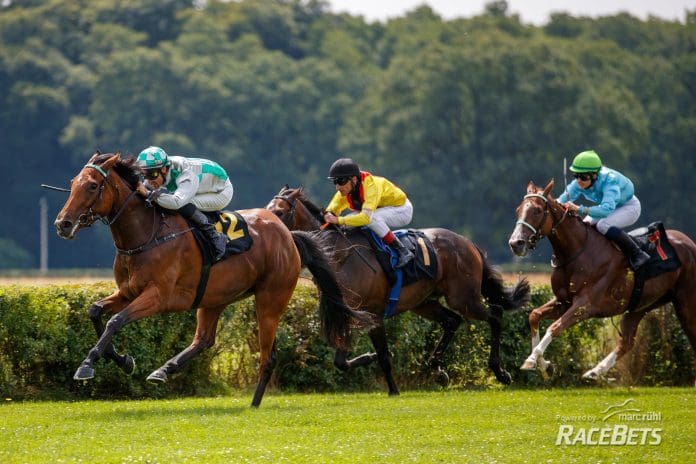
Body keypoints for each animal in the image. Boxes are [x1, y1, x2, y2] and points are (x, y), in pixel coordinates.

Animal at [53, 153, 376, 406]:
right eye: (72, 183)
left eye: (92, 185)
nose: (62, 224)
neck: (147, 234)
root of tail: (288, 235)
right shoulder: (128, 291)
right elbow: (96, 312)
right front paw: (123, 360)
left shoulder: (158, 296)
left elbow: (116, 320)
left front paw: (87, 365)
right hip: (214, 296)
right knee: (204, 340)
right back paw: (163, 370)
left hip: (270, 298)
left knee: (267, 355)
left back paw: (254, 404)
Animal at [270, 186, 532, 396]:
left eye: (280, 212)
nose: (271, 231)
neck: (341, 256)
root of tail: (467, 243)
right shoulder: (348, 313)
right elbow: (341, 361)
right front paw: (369, 357)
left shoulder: (373, 314)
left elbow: (384, 356)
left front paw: (393, 390)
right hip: (423, 302)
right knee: (452, 321)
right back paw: (438, 370)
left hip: (463, 297)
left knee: (494, 314)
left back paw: (500, 372)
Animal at [506, 179, 696, 380]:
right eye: (518, 209)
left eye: (537, 210)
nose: (515, 243)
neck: (576, 252)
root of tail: (690, 243)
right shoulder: (563, 301)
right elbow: (534, 315)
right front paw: (544, 365)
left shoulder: (585, 305)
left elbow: (555, 327)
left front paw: (532, 359)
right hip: (641, 305)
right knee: (627, 342)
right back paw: (594, 371)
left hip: (686, 303)